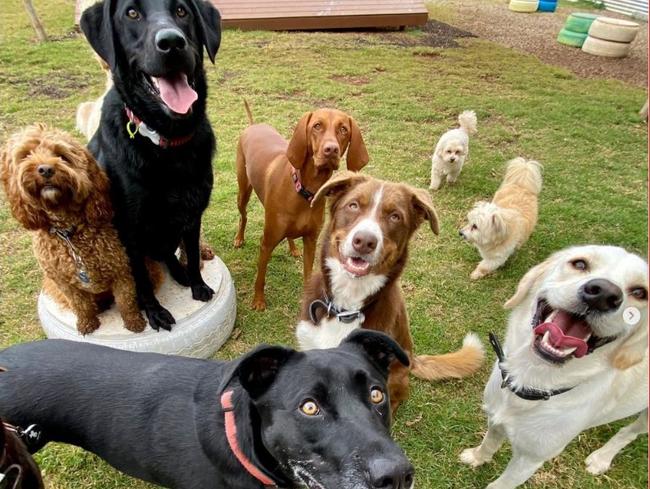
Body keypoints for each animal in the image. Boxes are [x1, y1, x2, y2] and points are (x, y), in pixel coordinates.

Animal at [0, 124, 149, 334]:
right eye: (26, 155)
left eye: (62, 156)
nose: (45, 169)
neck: (69, 233)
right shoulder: (65, 282)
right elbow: (80, 304)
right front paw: (87, 323)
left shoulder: (120, 270)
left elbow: (126, 301)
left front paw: (134, 322)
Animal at [79, 0, 221, 332]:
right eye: (131, 14)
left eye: (182, 11)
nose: (171, 42)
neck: (166, 143)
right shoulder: (128, 230)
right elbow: (140, 279)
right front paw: (153, 311)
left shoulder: (192, 213)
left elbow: (192, 252)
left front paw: (197, 284)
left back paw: (180, 273)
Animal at [233, 104, 368, 308]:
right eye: (317, 126)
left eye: (343, 129)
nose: (331, 149)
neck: (306, 192)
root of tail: (253, 125)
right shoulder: (267, 243)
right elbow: (260, 276)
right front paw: (258, 301)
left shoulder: (311, 242)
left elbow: (307, 274)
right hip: (243, 192)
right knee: (244, 215)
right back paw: (239, 238)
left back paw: (293, 248)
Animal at [458, 244, 644, 488]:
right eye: (579, 263)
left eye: (640, 293)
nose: (604, 294)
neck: (532, 378)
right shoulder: (495, 417)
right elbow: (489, 443)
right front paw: (477, 457)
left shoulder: (529, 460)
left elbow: (501, 484)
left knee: (629, 432)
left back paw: (601, 458)